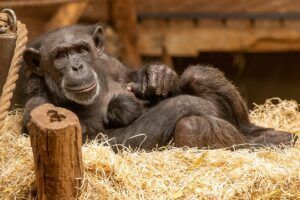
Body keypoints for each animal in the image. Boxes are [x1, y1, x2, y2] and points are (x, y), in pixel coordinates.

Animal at [22, 24, 296, 150]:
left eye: (81, 50)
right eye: (60, 56)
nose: (77, 66)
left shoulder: (109, 62)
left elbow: (131, 74)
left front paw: (158, 75)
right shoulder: (37, 107)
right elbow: (109, 141)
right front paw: (186, 102)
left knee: (197, 74)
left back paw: (261, 134)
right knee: (191, 126)